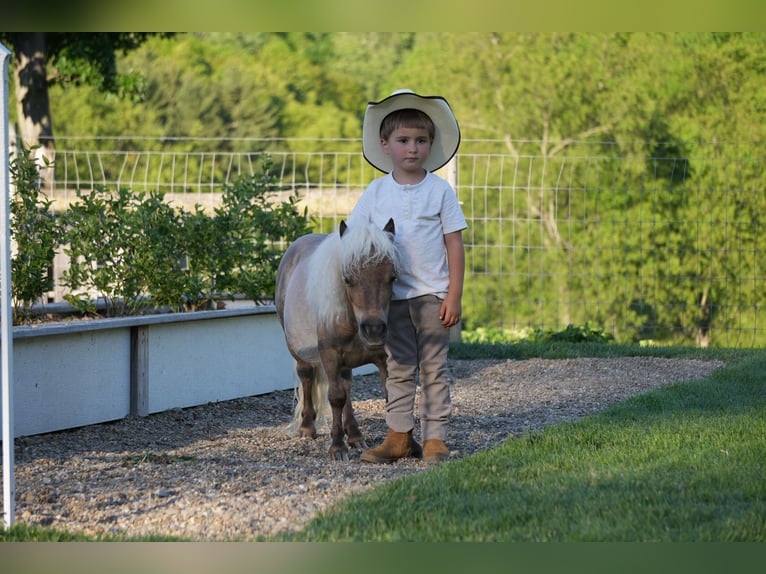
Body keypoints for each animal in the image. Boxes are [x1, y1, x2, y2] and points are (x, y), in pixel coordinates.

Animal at [275, 218, 397, 461]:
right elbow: (336, 398)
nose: (374, 330)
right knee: (307, 377)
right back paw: (307, 428)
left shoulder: (382, 357)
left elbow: (390, 395)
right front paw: (337, 447)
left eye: (392, 277)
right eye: (347, 279)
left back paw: (355, 435)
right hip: (298, 351)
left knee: (347, 385)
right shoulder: (329, 355)